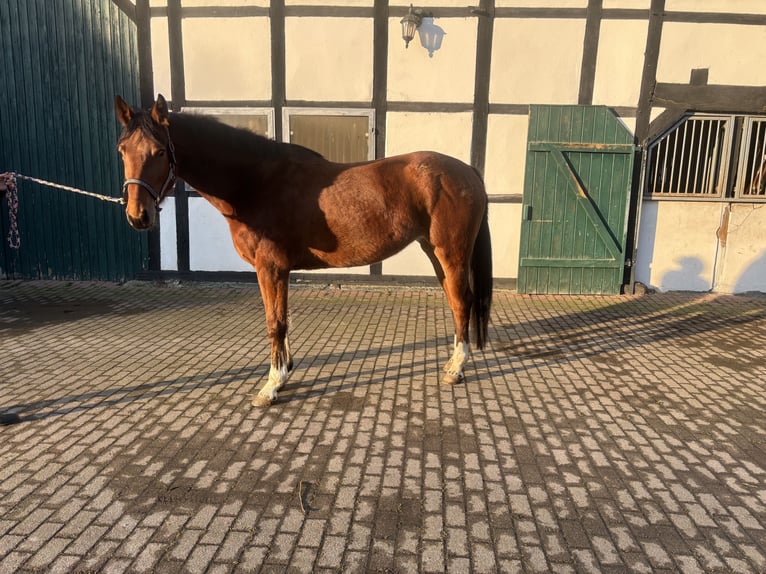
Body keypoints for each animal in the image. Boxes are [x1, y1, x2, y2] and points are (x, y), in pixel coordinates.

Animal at [117, 94, 496, 408]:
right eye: (122, 150)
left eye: (160, 151)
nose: (138, 216)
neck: (253, 182)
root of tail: (467, 171)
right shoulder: (277, 270)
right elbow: (281, 320)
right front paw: (284, 373)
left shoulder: (269, 267)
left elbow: (274, 323)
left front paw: (270, 386)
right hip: (435, 252)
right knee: (455, 301)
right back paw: (452, 363)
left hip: (451, 252)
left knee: (461, 301)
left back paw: (456, 369)